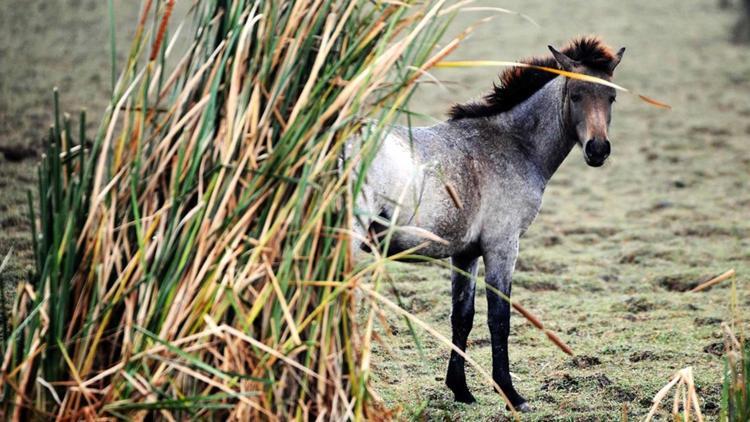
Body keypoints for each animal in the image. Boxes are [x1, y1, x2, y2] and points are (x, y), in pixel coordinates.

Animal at [350, 36, 624, 412]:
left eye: (611, 96)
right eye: (576, 95)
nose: (598, 150)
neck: (512, 143)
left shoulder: (465, 254)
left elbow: (462, 318)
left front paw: (461, 390)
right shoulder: (502, 247)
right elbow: (499, 319)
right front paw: (511, 394)